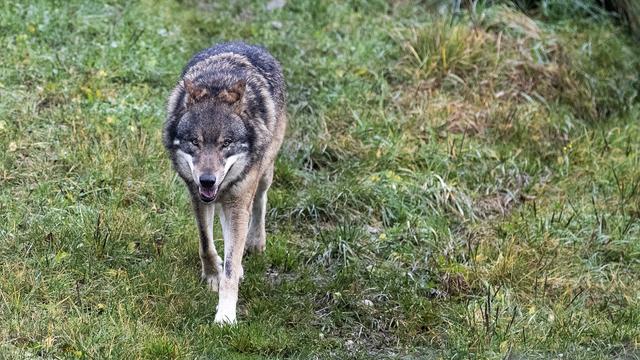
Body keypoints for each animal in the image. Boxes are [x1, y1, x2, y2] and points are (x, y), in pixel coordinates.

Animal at [164, 41, 286, 324]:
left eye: (226, 143)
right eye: (195, 142)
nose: (207, 179)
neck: (217, 85)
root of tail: (244, 42)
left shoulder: (238, 202)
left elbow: (231, 266)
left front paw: (226, 316)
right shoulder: (197, 196)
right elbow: (206, 243)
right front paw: (212, 275)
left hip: (263, 174)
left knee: (260, 201)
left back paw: (255, 242)